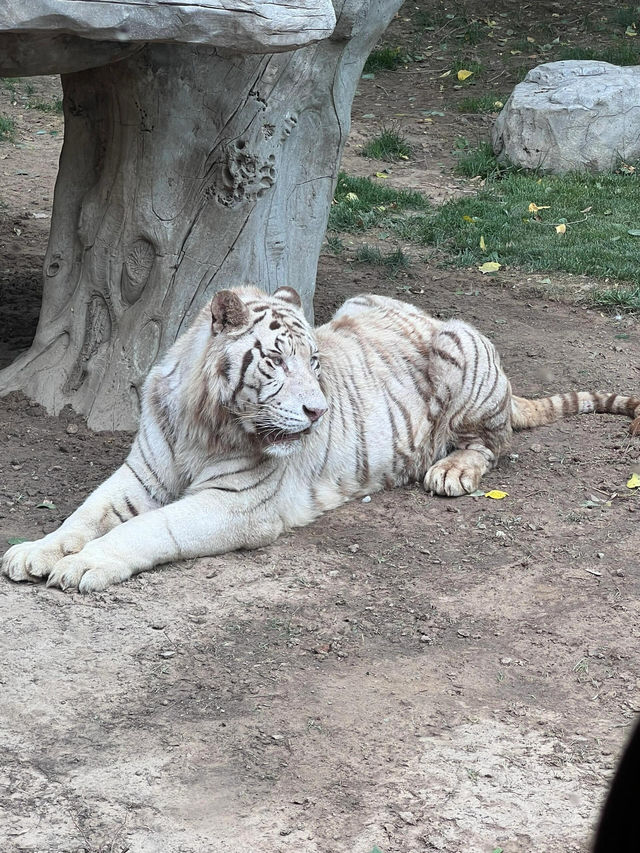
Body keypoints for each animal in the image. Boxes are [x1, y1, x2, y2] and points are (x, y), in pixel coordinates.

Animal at [1, 288, 640, 592]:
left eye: (314, 361)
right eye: (277, 361)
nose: (319, 410)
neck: (202, 422)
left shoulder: (237, 504)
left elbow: (150, 528)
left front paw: (87, 565)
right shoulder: (141, 473)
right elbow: (86, 514)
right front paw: (35, 551)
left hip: (460, 348)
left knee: (494, 442)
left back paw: (450, 470)